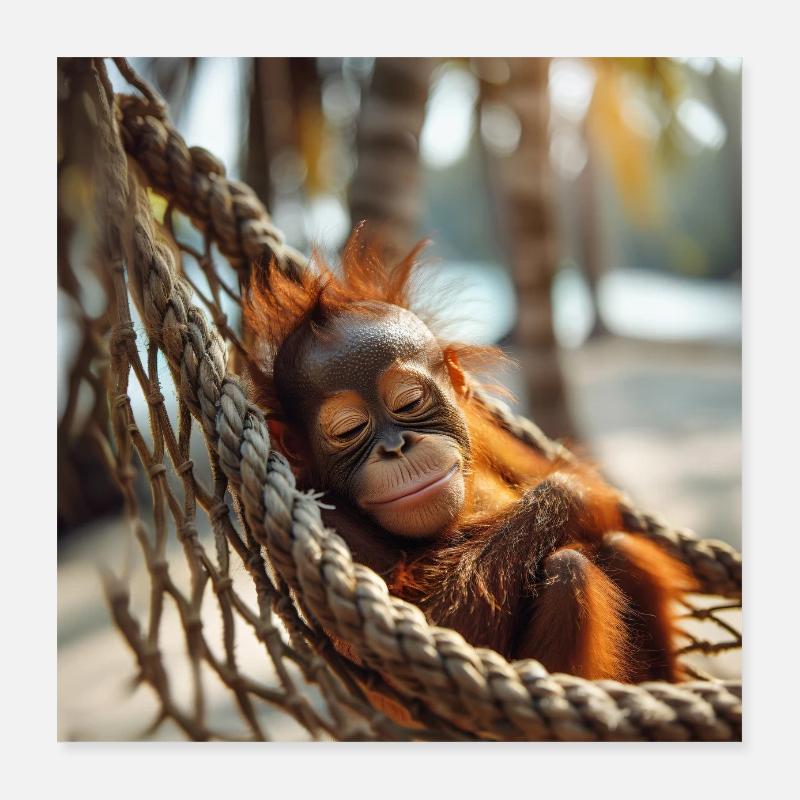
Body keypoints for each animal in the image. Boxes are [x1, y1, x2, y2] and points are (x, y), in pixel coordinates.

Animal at [243, 232, 694, 684]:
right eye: (349, 431)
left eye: (409, 402)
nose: (396, 447)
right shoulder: (320, 510)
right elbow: (442, 622)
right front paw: (575, 493)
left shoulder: (480, 427)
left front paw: (583, 490)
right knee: (570, 574)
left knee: (617, 546)